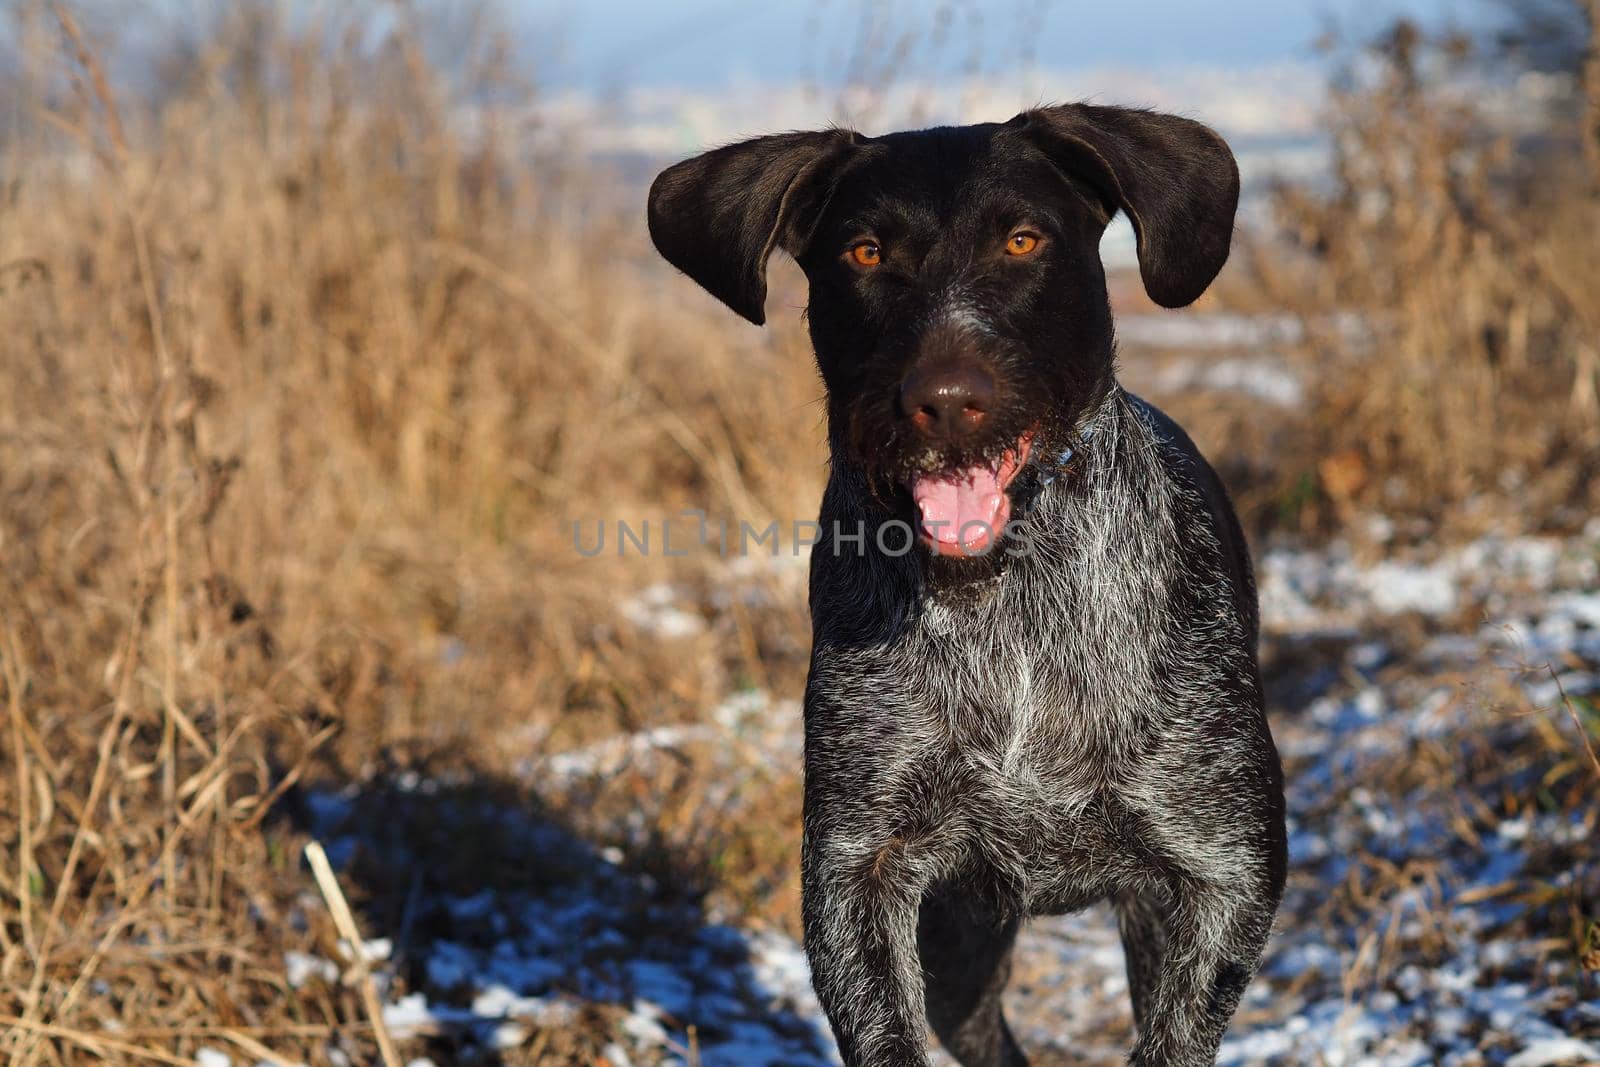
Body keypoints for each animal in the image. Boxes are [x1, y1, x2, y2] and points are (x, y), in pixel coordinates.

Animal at [643, 102, 1280, 1067]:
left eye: (1022, 240)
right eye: (865, 252)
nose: (944, 400)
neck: (1007, 601)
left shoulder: (1223, 867)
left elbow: (1174, 1032)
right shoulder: (858, 870)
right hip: (958, 948)